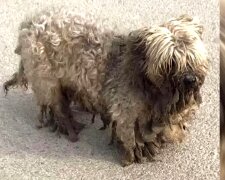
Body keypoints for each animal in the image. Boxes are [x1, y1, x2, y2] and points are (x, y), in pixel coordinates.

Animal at [3, 8, 208, 166]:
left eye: (191, 56)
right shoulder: (126, 111)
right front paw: (137, 153)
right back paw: (69, 125)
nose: (190, 79)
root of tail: (29, 23)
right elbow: (131, 135)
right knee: (56, 105)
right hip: (47, 80)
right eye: (171, 61)